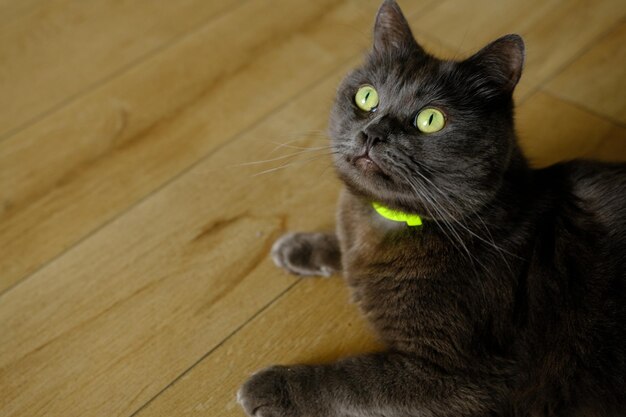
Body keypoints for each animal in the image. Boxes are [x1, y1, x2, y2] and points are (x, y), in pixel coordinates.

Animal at [235, 1, 624, 414]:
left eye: (430, 119)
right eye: (367, 98)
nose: (373, 133)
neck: (392, 220)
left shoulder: (460, 378)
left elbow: (355, 379)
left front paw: (273, 386)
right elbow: (344, 248)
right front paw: (300, 247)